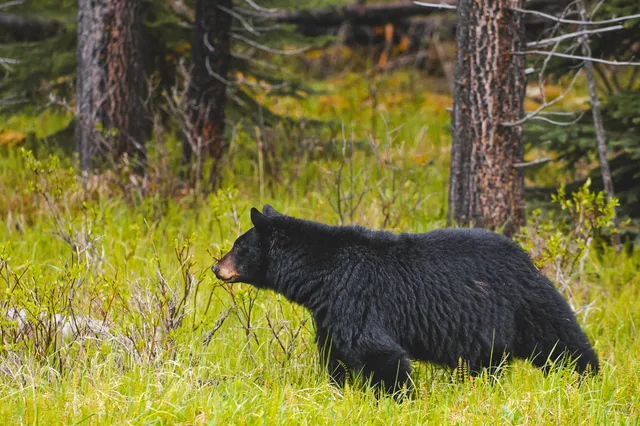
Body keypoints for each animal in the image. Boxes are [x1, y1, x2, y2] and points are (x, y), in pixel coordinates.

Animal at [212, 205, 599, 396]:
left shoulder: (357, 298)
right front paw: (340, 389)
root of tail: (526, 256)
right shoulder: (331, 311)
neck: (322, 273)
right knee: (489, 361)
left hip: (525, 301)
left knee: (561, 340)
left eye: (237, 246)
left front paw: (397, 398)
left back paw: (588, 378)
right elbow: (335, 353)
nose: (216, 267)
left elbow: (377, 351)